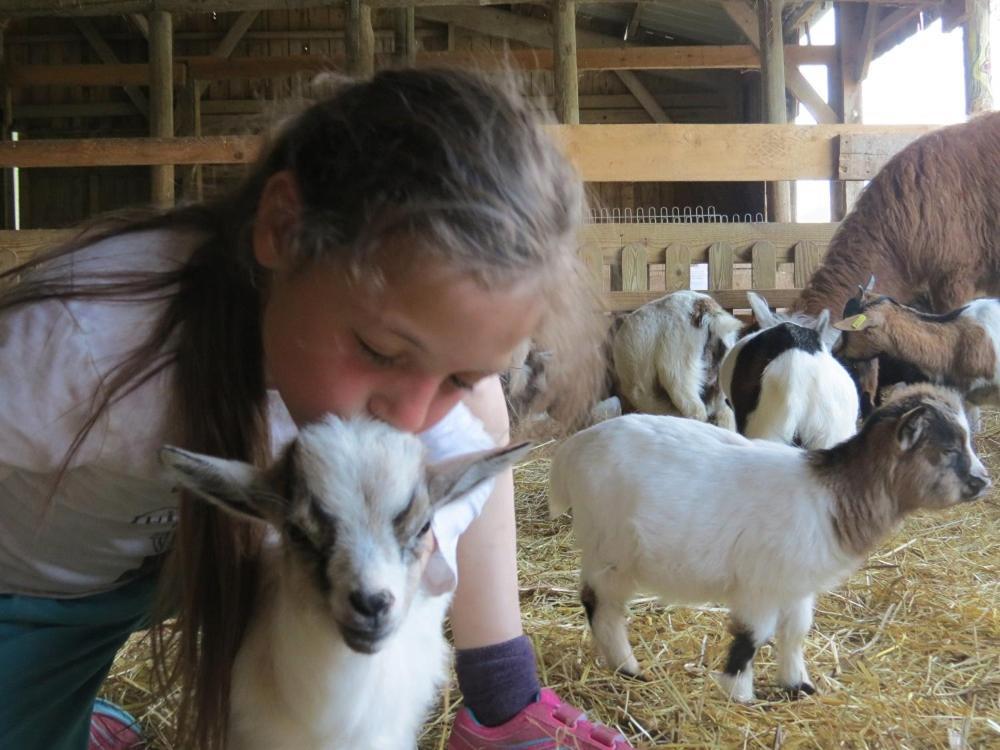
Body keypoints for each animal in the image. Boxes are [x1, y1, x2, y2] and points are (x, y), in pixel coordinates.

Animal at [552, 388, 988, 704]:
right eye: (948, 450)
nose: (983, 481)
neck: (830, 497)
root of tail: (573, 449)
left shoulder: (794, 585)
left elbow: (795, 633)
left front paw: (798, 686)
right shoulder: (758, 585)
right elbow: (752, 637)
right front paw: (740, 696)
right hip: (610, 550)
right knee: (600, 604)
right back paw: (628, 668)